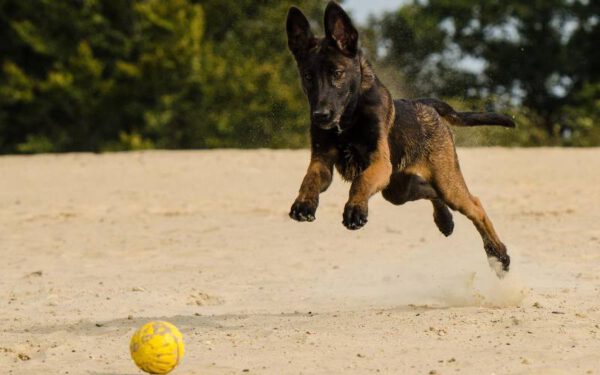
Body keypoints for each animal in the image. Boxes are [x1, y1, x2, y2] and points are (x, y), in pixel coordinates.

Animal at [288, 0, 512, 276]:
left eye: (337, 73)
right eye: (308, 76)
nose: (320, 115)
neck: (348, 119)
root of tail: (426, 104)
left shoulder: (379, 163)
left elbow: (360, 182)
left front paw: (355, 208)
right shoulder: (321, 160)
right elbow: (309, 179)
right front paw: (304, 203)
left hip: (443, 182)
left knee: (475, 206)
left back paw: (499, 255)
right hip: (398, 190)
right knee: (431, 191)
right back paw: (445, 220)